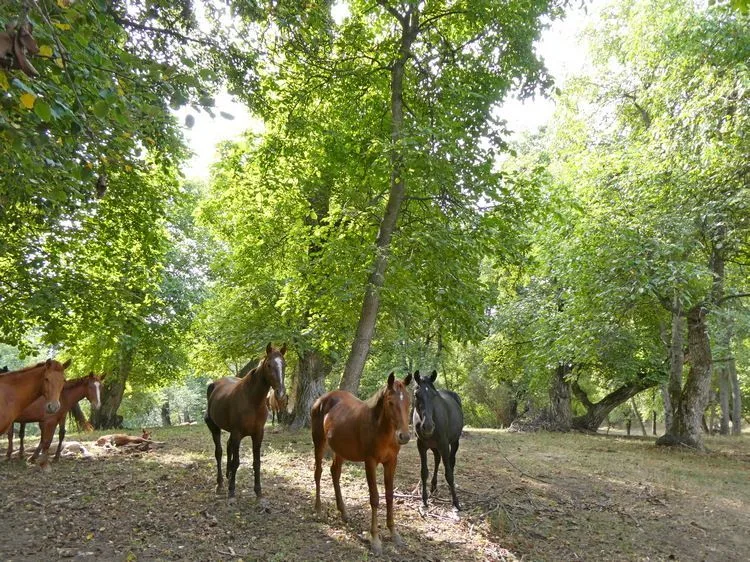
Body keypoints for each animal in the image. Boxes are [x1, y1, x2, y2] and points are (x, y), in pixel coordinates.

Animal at [205, 343, 287, 500]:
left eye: (284, 365)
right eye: (269, 365)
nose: (280, 393)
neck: (252, 400)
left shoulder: (258, 434)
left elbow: (256, 462)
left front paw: (258, 491)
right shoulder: (237, 433)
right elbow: (236, 461)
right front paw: (231, 490)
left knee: (228, 447)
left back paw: (228, 475)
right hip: (215, 428)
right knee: (219, 452)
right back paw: (220, 484)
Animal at [312, 372, 412, 555]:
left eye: (409, 401)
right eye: (390, 402)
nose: (404, 436)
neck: (381, 428)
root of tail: (321, 400)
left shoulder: (391, 462)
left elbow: (389, 495)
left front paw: (394, 533)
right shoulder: (370, 462)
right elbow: (375, 498)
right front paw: (375, 540)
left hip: (340, 449)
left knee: (334, 472)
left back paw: (343, 512)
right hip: (319, 442)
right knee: (318, 472)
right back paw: (318, 509)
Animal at [412, 370, 464, 510]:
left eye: (434, 395)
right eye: (416, 394)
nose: (428, 426)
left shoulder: (444, 445)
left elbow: (449, 474)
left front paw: (456, 501)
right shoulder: (421, 446)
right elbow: (424, 472)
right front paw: (424, 500)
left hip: (454, 442)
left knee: (451, 462)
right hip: (434, 446)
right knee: (437, 460)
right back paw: (433, 486)